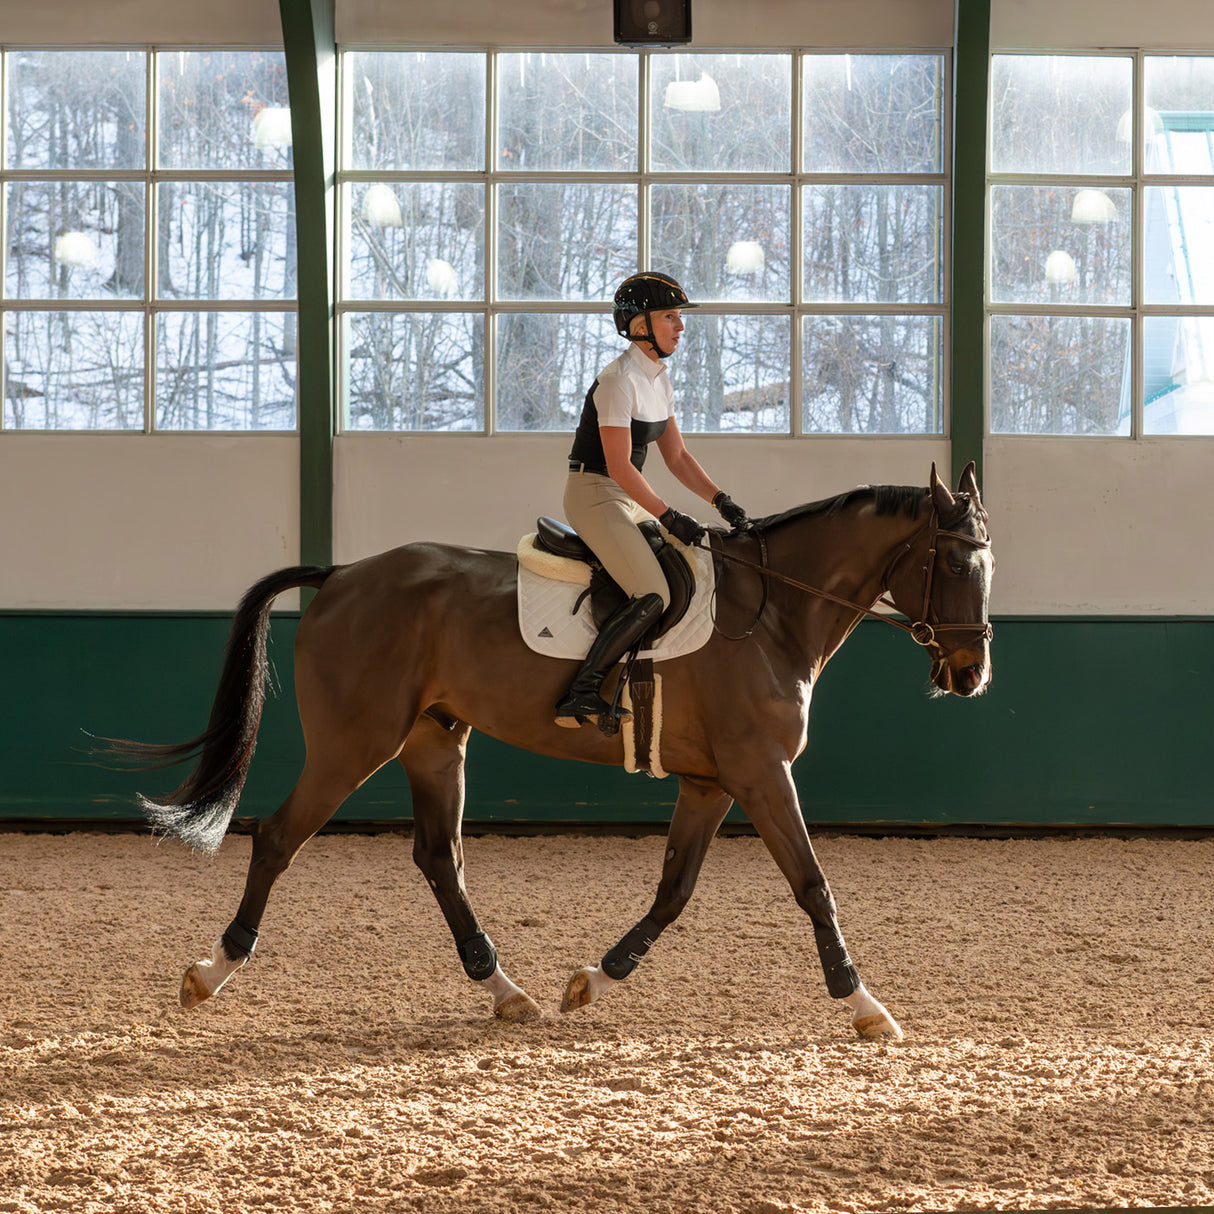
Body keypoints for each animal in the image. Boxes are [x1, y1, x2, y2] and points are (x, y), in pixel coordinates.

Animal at [104, 458, 990, 1039]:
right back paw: (211, 973)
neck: (769, 612)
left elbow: (674, 892)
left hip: (435, 742)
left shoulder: (712, 783)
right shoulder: (761, 772)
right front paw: (864, 1006)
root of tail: (344, 573)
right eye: (952, 560)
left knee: (439, 858)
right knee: (280, 837)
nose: (971, 673)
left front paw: (593, 982)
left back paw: (506, 990)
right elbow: (813, 886)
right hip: (354, 743)